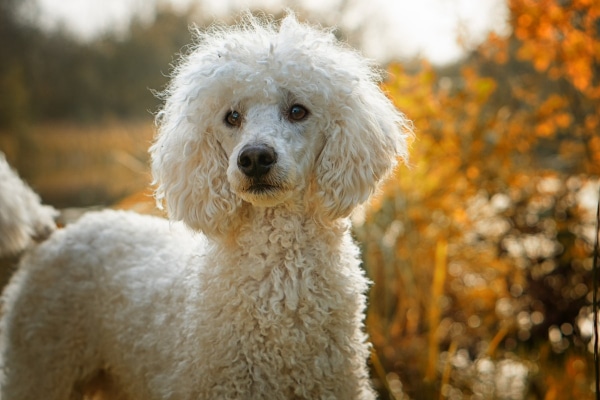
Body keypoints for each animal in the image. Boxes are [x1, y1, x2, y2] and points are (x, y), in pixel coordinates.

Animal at [0, 12, 408, 400]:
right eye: (232, 117)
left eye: (298, 111)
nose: (254, 158)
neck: (279, 279)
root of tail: (48, 231)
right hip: (38, 366)